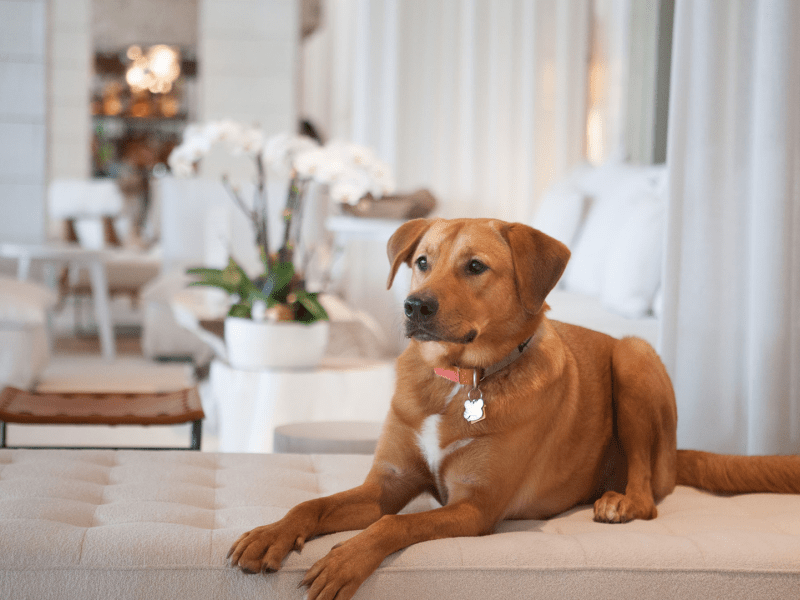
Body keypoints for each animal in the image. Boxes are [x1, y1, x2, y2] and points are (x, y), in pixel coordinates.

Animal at [227, 219, 800, 600]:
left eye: (475, 267)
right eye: (421, 262)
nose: (414, 307)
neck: (459, 383)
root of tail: (675, 457)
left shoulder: (474, 509)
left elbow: (393, 528)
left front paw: (344, 559)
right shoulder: (385, 486)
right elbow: (312, 505)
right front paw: (269, 534)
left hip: (634, 357)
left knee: (649, 494)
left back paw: (620, 501)